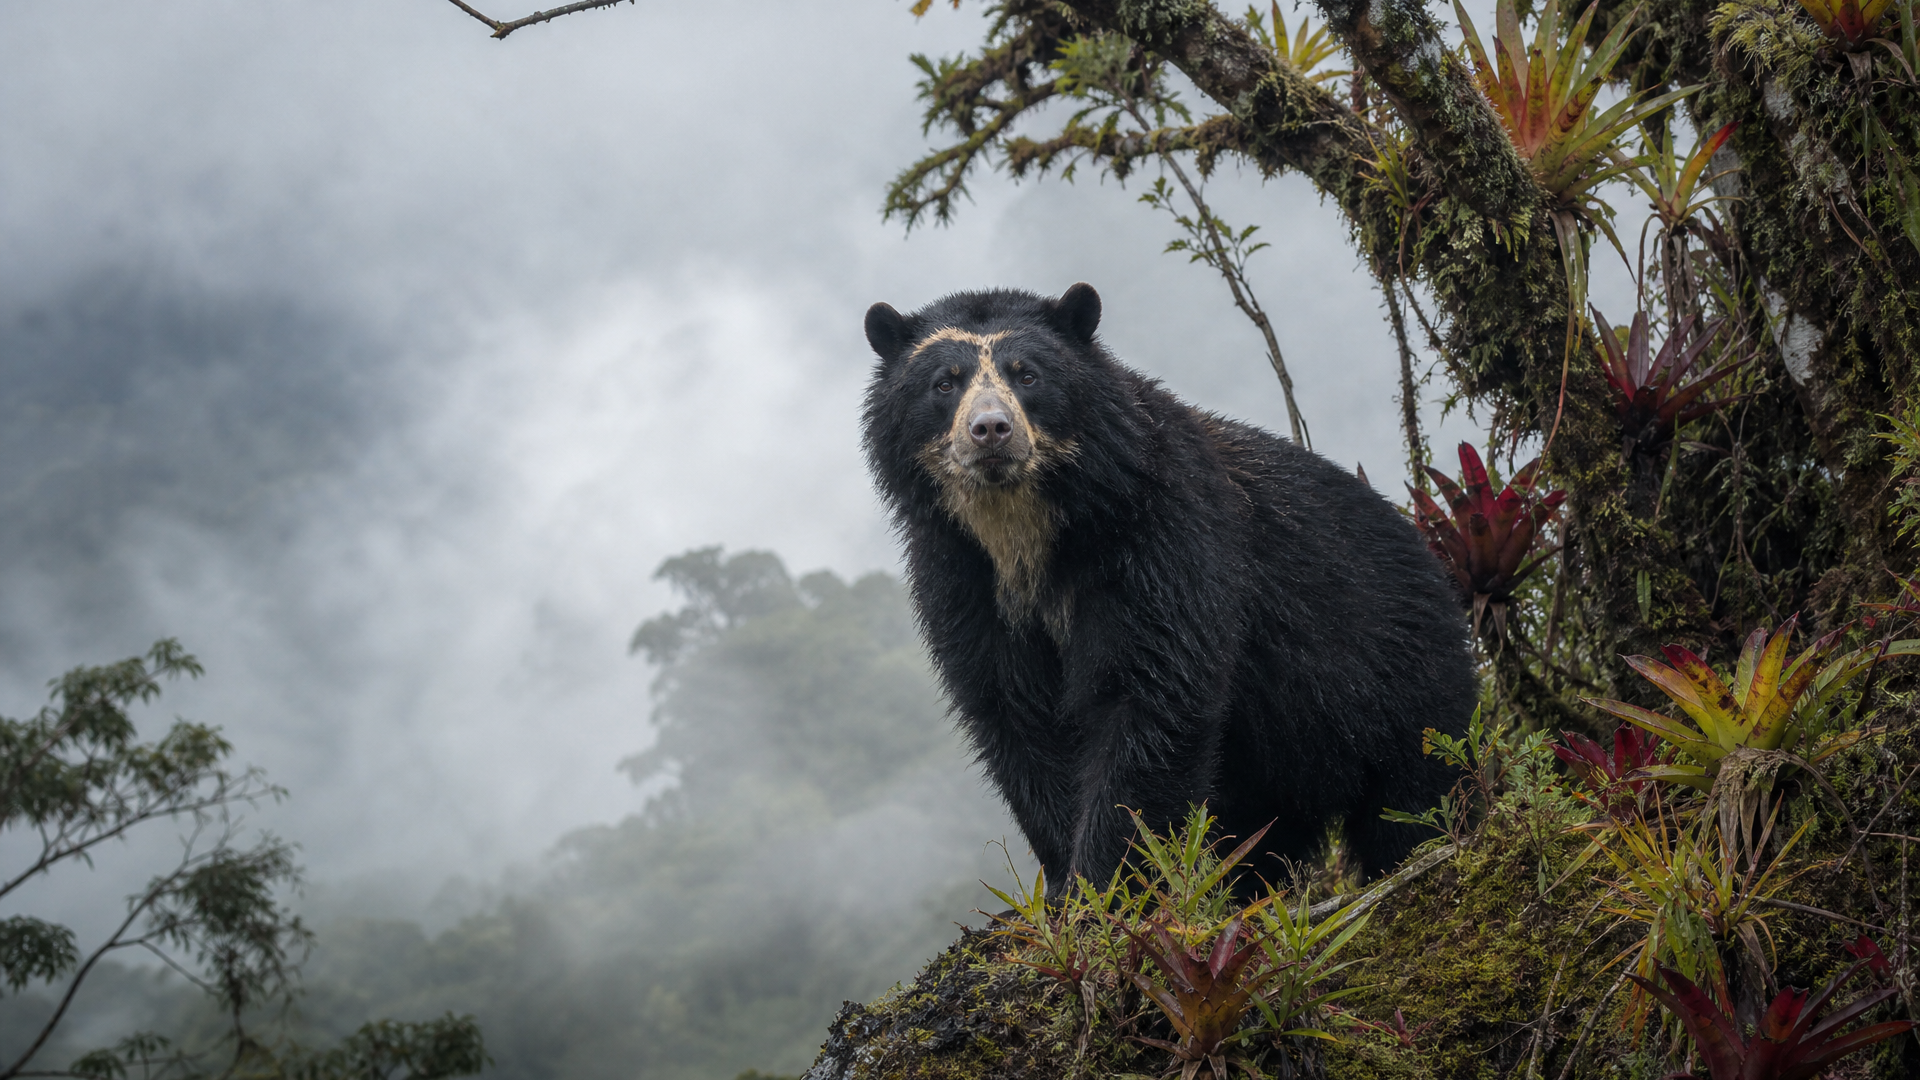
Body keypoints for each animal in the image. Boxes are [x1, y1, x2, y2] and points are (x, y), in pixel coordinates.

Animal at [860, 282, 1475, 893]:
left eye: (1027, 375)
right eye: (945, 384)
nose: (990, 430)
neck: (1022, 529)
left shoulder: (1162, 535)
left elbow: (1152, 693)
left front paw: (1106, 889)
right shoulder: (960, 577)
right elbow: (1015, 713)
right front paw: (1066, 888)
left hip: (1398, 680)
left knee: (1416, 798)